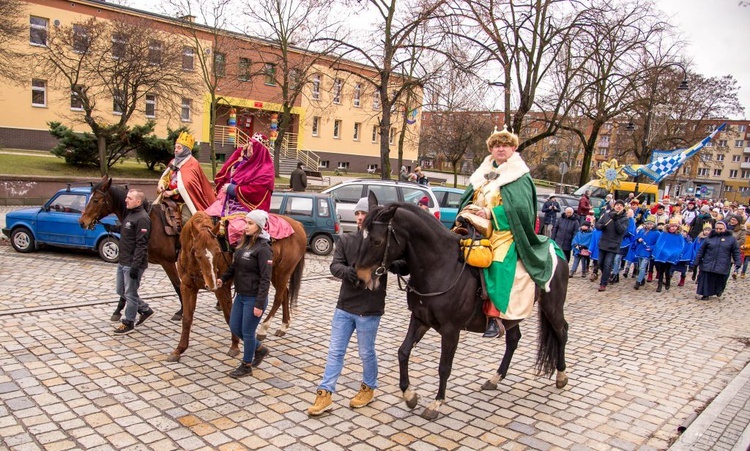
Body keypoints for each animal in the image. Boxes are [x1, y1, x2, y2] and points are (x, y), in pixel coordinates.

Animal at [172, 212, 306, 364]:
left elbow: (229, 317)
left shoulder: (222, 289)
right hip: (274, 273)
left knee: (278, 298)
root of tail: (297, 225)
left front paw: (235, 346)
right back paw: (283, 326)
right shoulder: (187, 287)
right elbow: (187, 319)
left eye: (218, 252)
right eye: (196, 253)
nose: (212, 284)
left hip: (282, 272)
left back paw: (263, 329)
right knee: (285, 294)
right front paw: (179, 350)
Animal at [354, 198, 568, 420]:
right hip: (511, 316)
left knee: (562, 332)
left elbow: (444, 367)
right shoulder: (420, 320)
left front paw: (436, 403)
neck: (440, 267)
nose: (360, 278)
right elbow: (403, 352)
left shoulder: (451, 330)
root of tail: (555, 248)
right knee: (513, 339)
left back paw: (561, 375)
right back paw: (496, 377)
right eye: (359, 235)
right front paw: (409, 395)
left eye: (377, 241)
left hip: (552, 306)